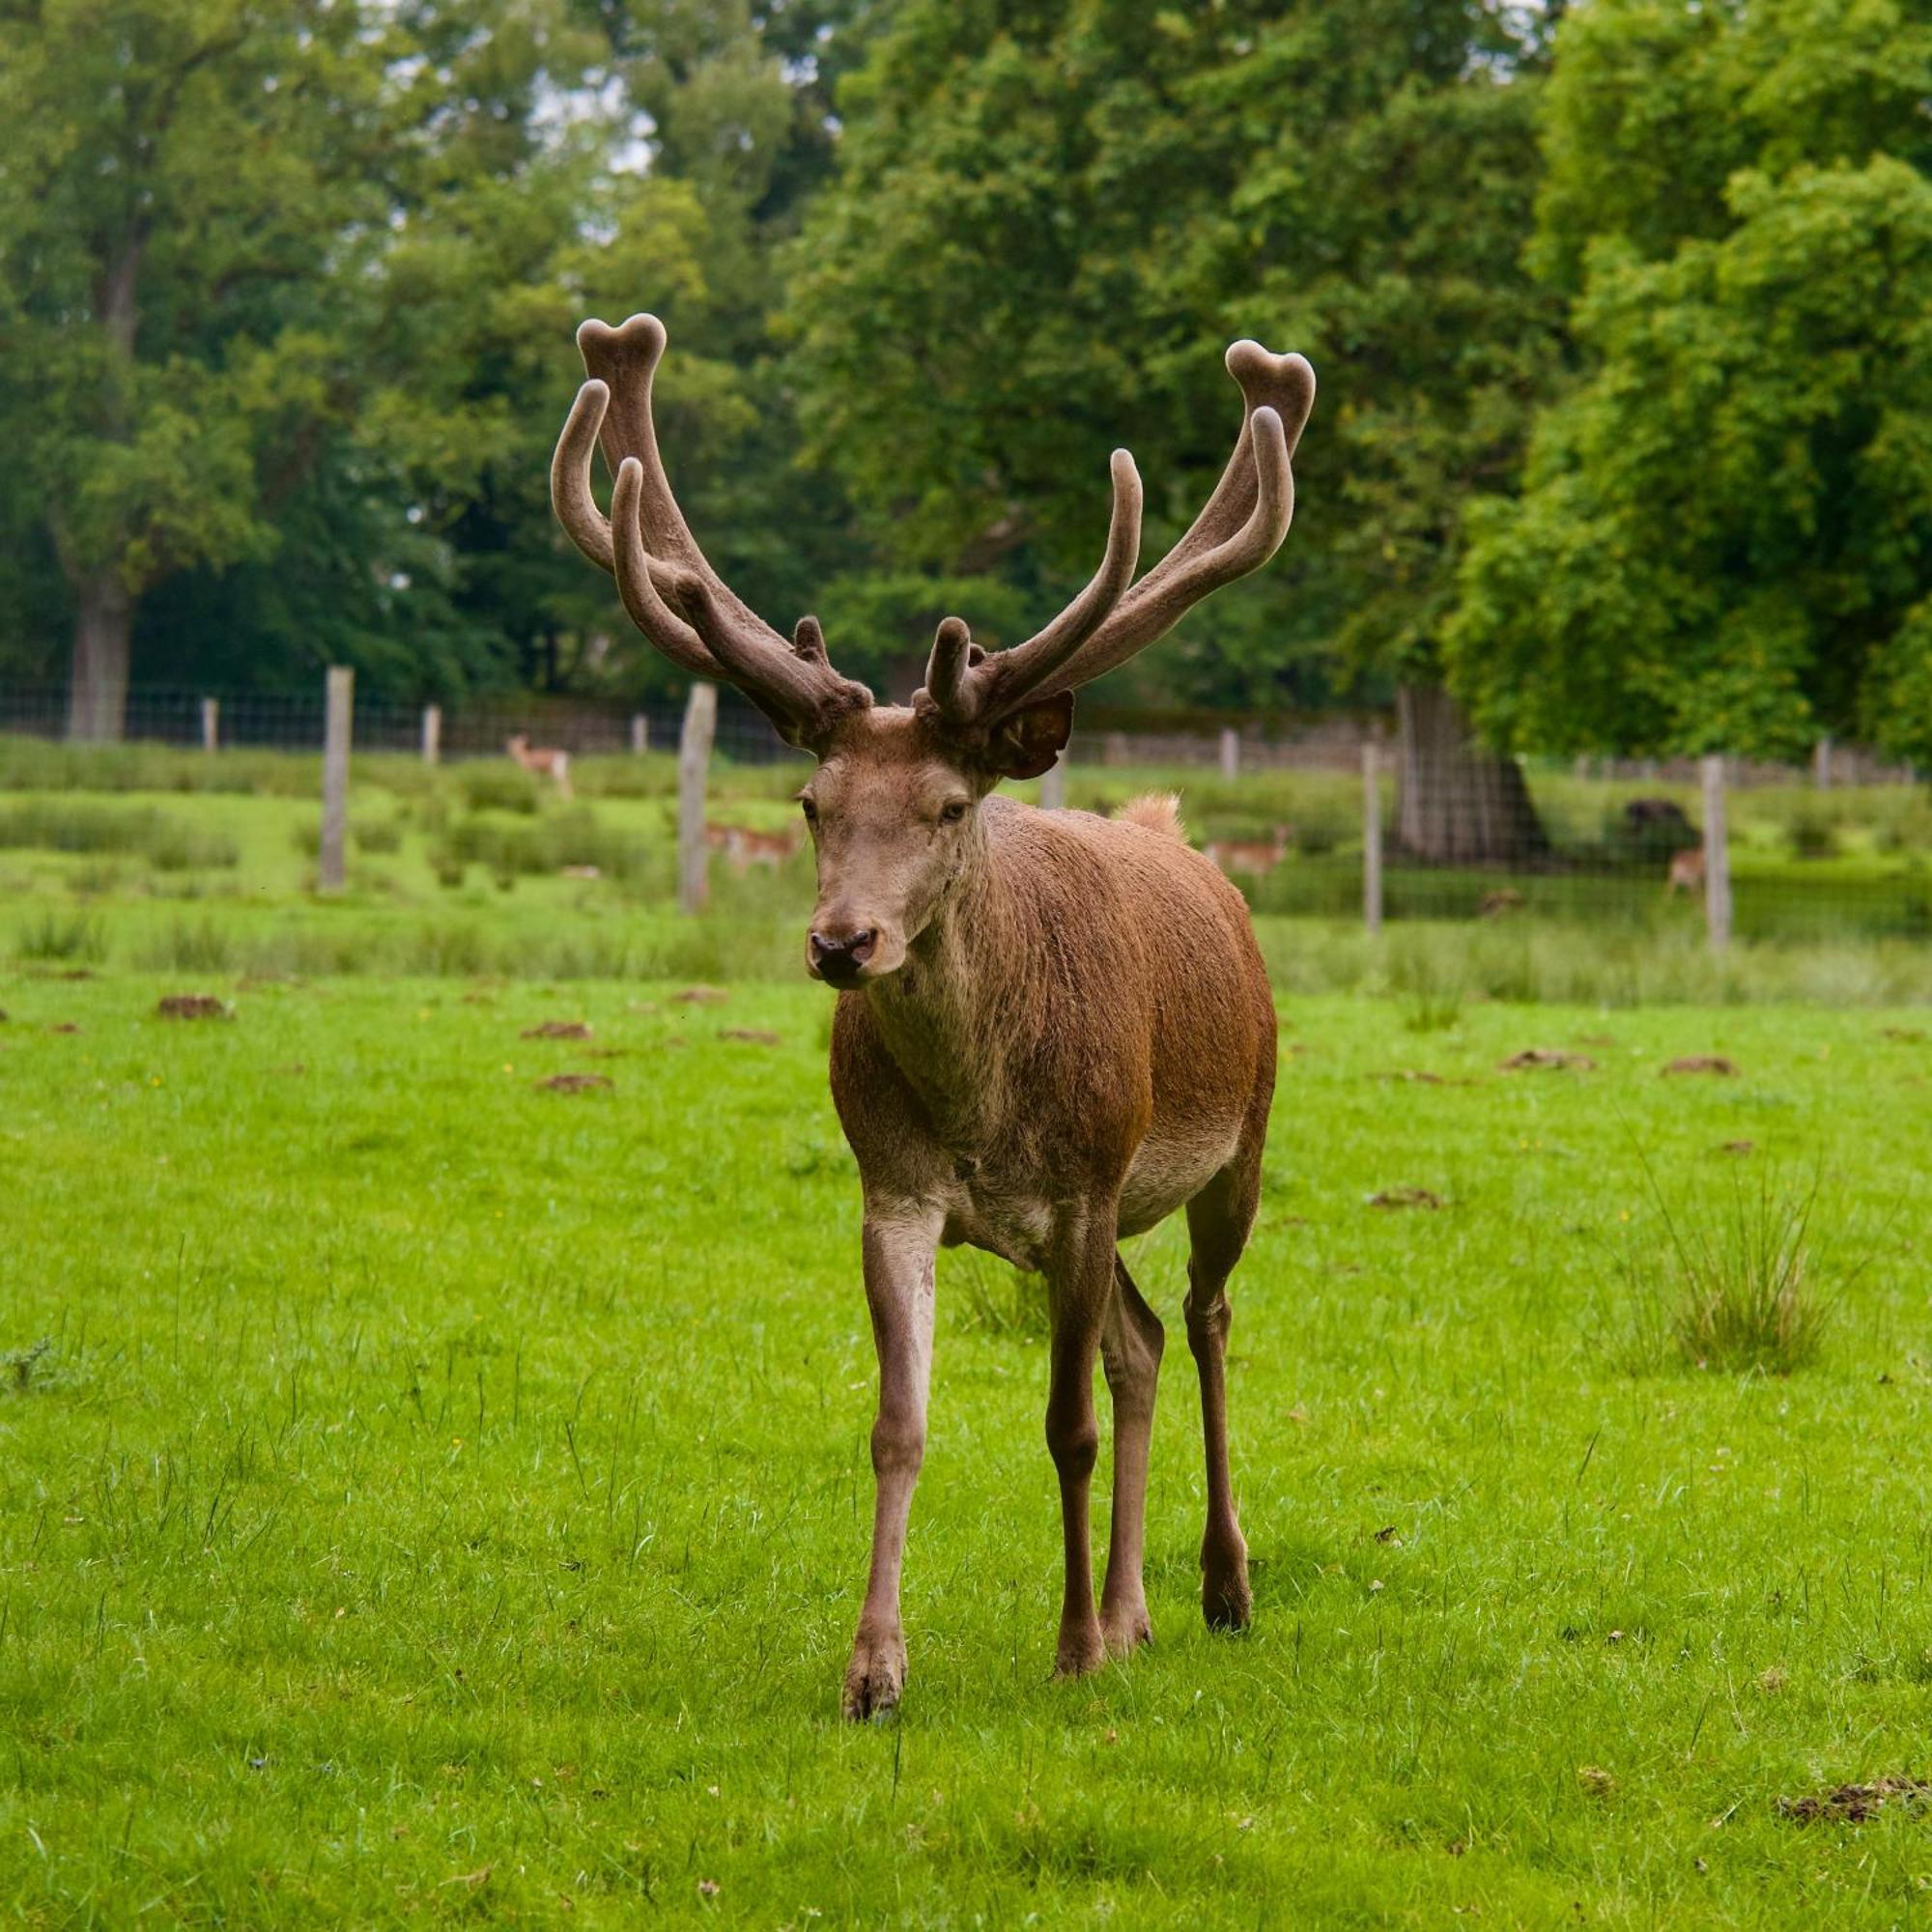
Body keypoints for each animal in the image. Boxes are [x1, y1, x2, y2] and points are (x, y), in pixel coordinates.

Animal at [553, 309, 1321, 1716]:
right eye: (812, 803)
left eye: (949, 806)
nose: (841, 942)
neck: (983, 1114)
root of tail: (1191, 854)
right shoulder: (897, 1190)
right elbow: (897, 1424)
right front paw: (873, 1668)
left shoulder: (1084, 1183)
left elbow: (1064, 1425)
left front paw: (1068, 1651)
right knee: (1140, 1341)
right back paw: (1134, 1610)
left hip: (1234, 1137)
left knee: (1204, 1320)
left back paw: (1219, 1585)